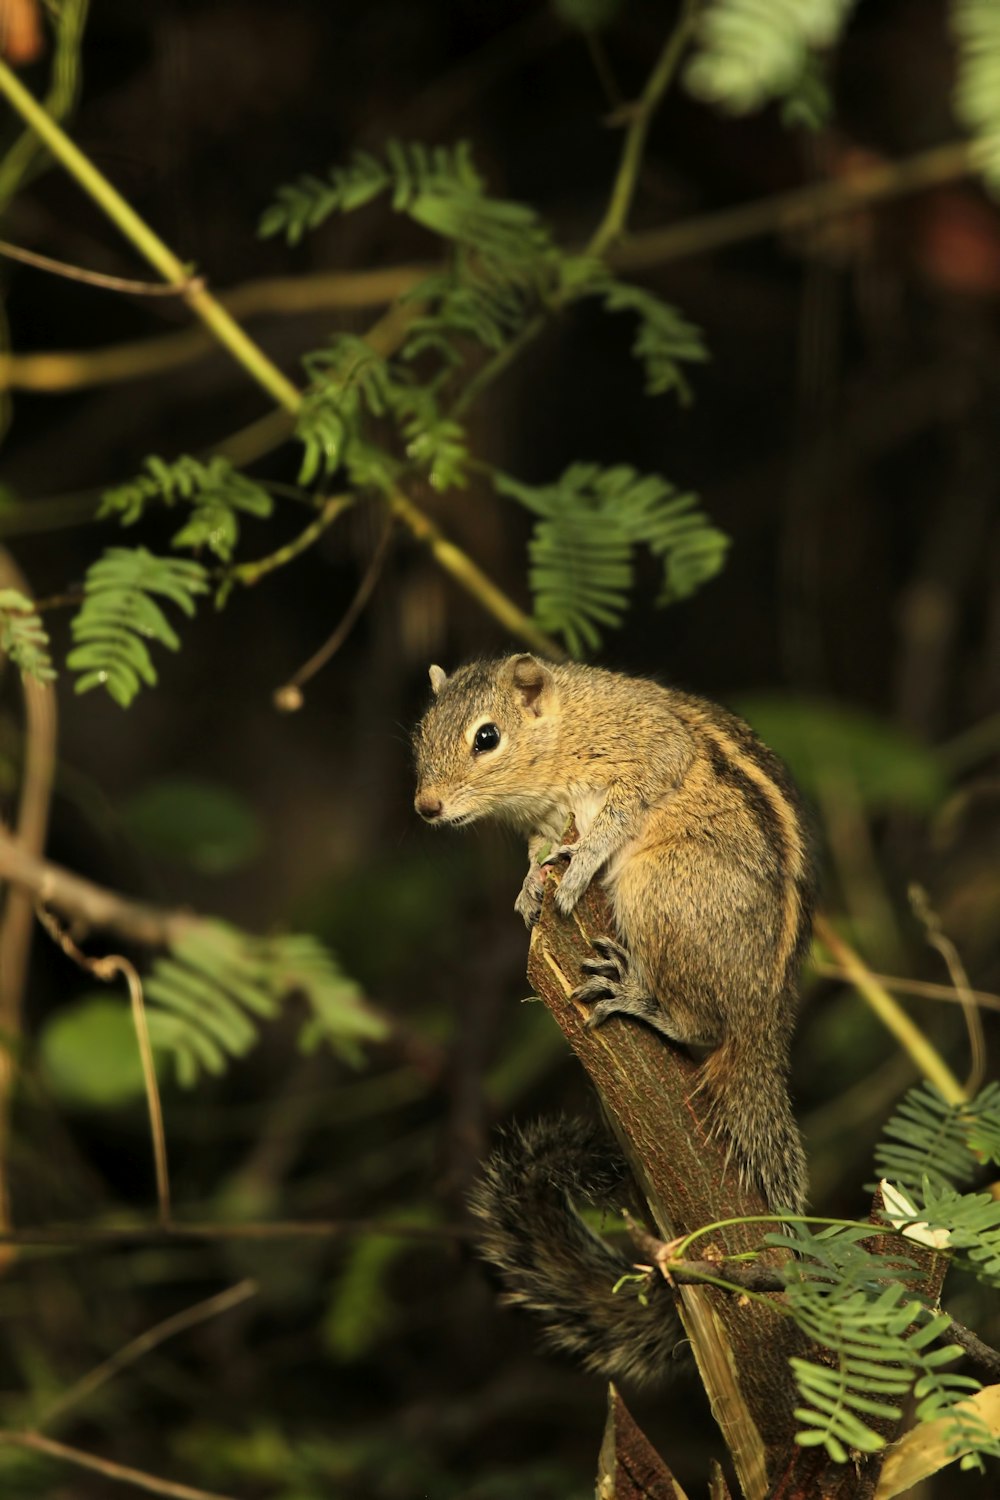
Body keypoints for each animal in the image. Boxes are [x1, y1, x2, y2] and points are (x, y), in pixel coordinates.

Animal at [413, 654, 815, 1380]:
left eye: (487, 738)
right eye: (422, 730)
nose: (425, 806)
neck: (562, 730)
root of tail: (764, 1021)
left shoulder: (642, 754)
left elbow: (623, 807)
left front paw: (576, 868)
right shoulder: (544, 820)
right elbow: (537, 851)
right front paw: (529, 886)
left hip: (661, 889)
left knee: (701, 1025)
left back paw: (640, 997)